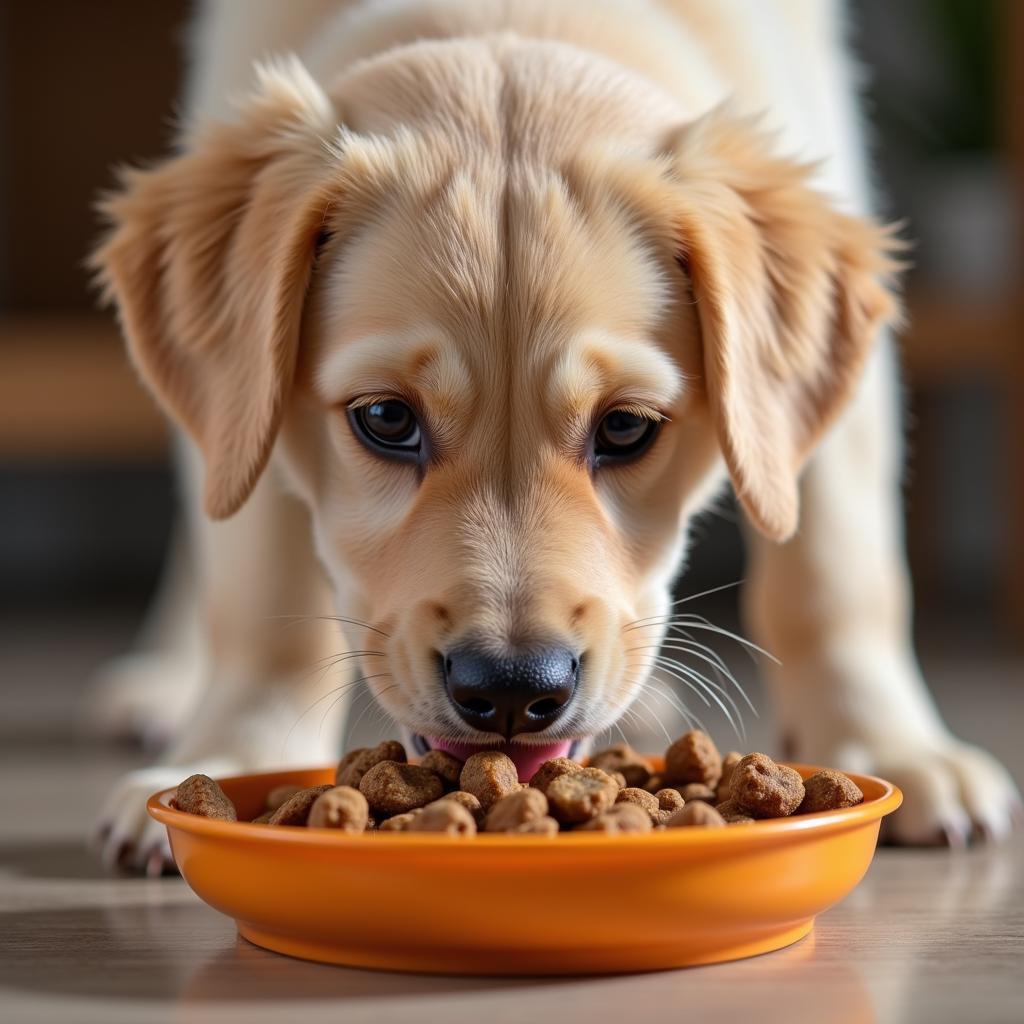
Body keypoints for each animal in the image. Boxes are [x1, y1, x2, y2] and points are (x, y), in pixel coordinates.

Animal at [90, 0, 1015, 872]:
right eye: (386, 419)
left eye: (626, 427)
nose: (508, 692)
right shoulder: (250, 398)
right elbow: (261, 595)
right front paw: (231, 755)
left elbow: (833, 573)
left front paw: (895, 747)